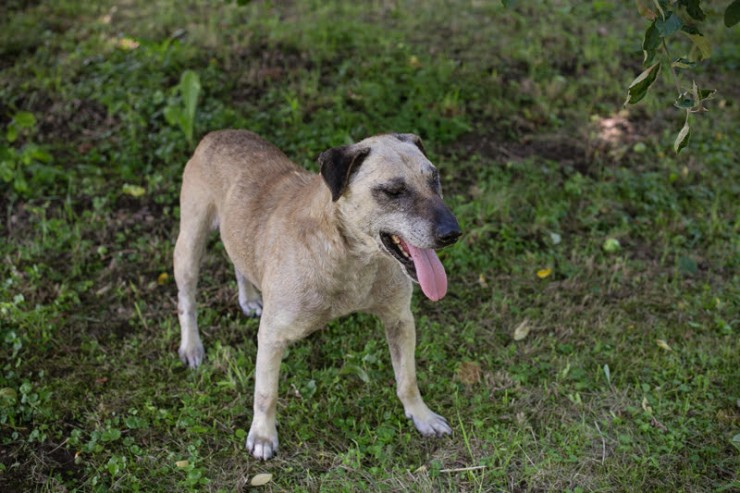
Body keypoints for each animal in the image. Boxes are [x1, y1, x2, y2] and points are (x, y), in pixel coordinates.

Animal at [175, 129, 462, 460]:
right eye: (393, 191)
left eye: (434, 178)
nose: (453, 233)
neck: (352, 256)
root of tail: (218, 133)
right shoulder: (271, 336)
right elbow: (266, 393)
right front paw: (262, 435)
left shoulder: (400, 320)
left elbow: (408, 379)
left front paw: (422, 416)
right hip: (189, 246)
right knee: (186, 301)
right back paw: (191, 346)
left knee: (239, 261)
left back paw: (248, 298)